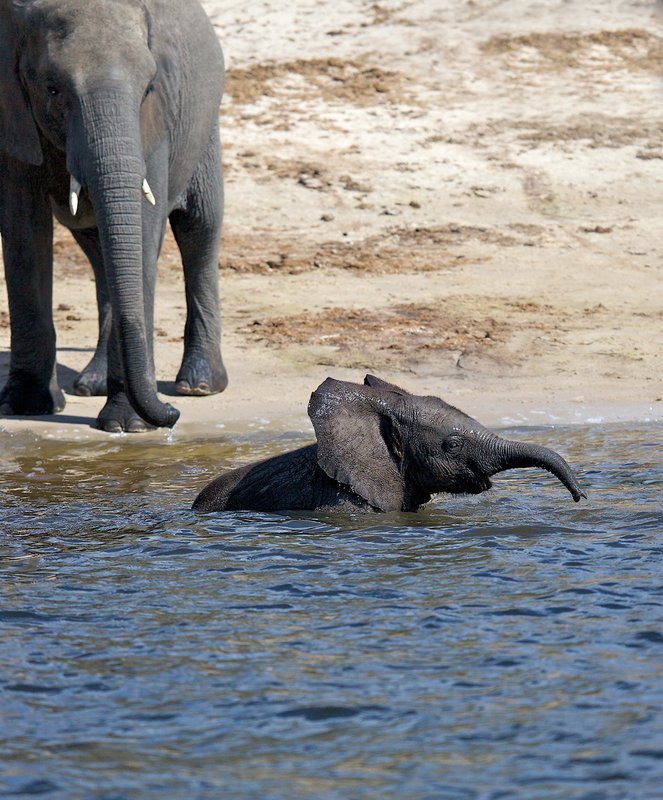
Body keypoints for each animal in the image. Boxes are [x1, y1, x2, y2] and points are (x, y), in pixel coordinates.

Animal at [0, 0, 228, 432]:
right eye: (52, 89)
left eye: (148, 88)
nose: (171, 416)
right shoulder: (12, 119)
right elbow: (23, 231)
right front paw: (23, 405)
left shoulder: (155, 122)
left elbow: (143, 226)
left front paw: (128, 426)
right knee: (98, 249)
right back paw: (93, 385)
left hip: (205, 131)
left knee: (200, 229)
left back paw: (198, 386)